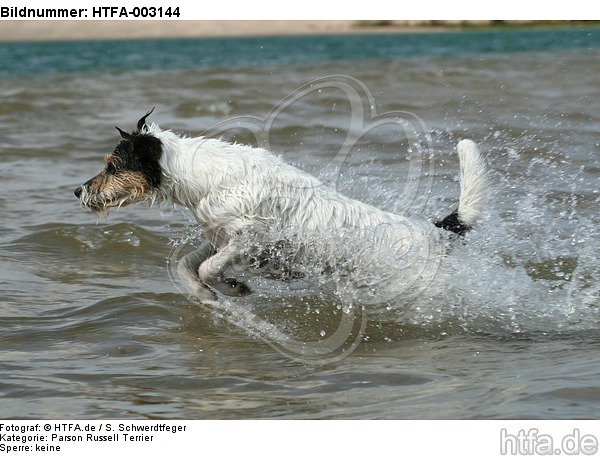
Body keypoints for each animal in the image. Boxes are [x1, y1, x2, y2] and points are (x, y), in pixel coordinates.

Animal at [75, 108, 488, 304]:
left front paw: (234, 288)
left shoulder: (251, 237)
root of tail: (436, 233)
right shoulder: (220, 237)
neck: (200, 178)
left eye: (112, 167)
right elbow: (188, 265)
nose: (77, 191)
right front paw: (207, 293)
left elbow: (209, 268)